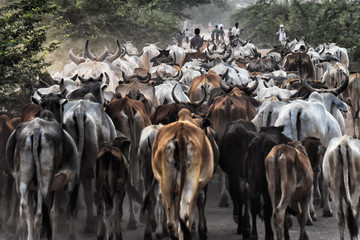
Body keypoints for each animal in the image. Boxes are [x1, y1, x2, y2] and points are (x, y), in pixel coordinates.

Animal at [5, 111, 79, 240]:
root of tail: (36, 131)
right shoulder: (58, 185)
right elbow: (54, 212)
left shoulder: (31, 187)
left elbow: (31, 211)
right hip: (44, 181)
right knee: (39, 215)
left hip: (23, 179)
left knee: (24, 209)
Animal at [151, 109, 214, 240]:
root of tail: (181, 134)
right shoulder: (199, 188)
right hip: (190, 185)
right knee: (185, 216)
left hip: (166, 184)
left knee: (171, 222)